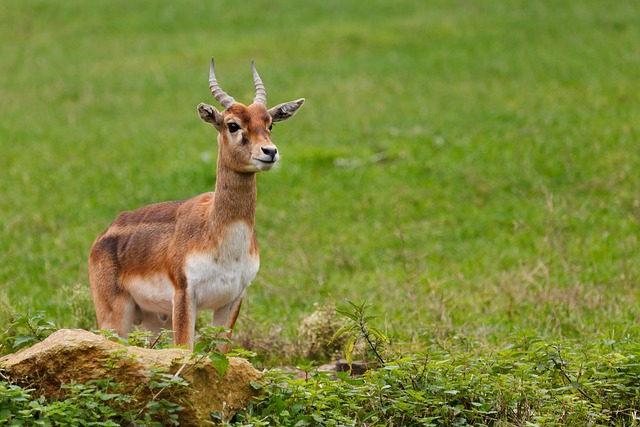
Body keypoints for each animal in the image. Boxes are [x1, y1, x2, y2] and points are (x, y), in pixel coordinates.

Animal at [89, 57, 306, 352]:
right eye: (232, 124)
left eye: (270, 123)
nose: (269, 152)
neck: (218, 233)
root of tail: (103, 234)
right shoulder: (184, 295)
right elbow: (186, 351)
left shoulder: (232, 299)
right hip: (115, 318)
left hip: (152, 318)